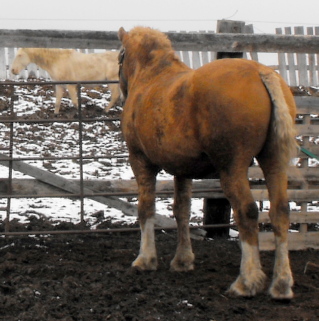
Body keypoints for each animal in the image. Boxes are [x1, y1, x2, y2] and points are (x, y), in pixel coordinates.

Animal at [119, 26, 298, 298]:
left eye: (120, 56)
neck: (151, 76)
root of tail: (261, 72)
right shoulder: (182, 169)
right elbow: (181, 211)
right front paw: (182, 260)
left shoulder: (140, 160)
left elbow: (146, 208)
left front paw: (145, 259)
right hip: (274, 161)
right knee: (280, 211)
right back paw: (281, 283)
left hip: (232, 167)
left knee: (247, 211)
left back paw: (246, 281)